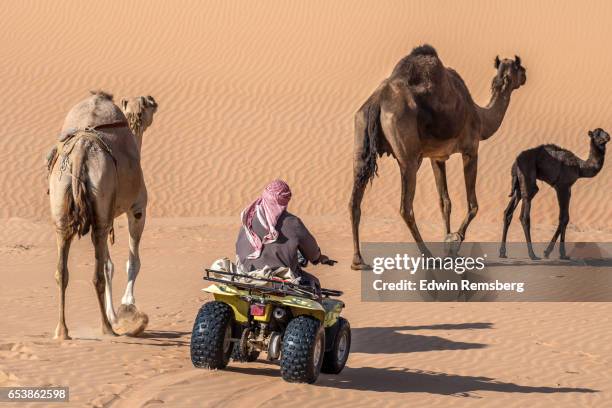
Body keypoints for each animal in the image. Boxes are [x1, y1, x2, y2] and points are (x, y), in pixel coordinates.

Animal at [48, 91, 158, 340]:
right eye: (148, 104)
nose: (154, 100)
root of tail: (80, 151)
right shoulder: (138, 208)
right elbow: (132, 262)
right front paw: (128, 308)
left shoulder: (108, 215)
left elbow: (109, 264)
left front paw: (116, 314)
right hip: (101, 206)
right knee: (97, 273)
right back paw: (107, 329)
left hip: (62, 206)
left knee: (62, 271)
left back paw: (62, 331)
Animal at [350, 45, 524, 268]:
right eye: (519, 67)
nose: (525, 74)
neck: (481, 116)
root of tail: (377, 101)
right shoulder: (471, 149)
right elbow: (473, 205)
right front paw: (455, 240)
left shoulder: (437, 157)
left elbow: (445, 202)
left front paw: (447, 246)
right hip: (408, 157)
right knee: (405, 208)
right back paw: (427, 256)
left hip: (360, 139)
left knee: (354, 202)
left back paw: (358, 260)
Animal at [500, 127, 608, 260]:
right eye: (597, 134)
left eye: (605, 132)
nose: (607, 137)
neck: (580, 167)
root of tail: (515, 163)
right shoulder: (562, 187)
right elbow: (564, 218)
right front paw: (550, 252)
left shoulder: (568, 189)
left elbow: (565, 218)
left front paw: (559, 254)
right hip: (527, 178)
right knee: (524, 215)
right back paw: (532, 254)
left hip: (518, 185)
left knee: (508, 212)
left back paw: (502, 252)